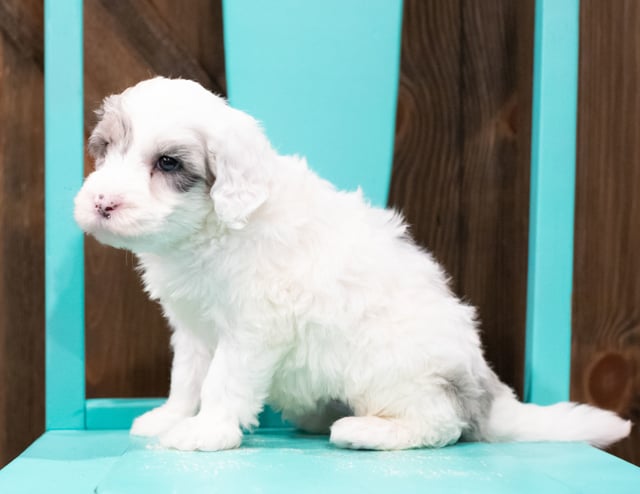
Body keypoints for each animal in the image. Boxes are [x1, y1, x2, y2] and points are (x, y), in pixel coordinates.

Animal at [75, 77, 632, 452]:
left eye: (168, 164)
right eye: (106, 150)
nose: (102, 202)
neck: (213, 230)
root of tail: (487, 394)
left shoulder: (253, 327)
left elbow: (223, 381)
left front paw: (206, 432)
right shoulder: (193, 328)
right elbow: (187, 378)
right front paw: (170, 418)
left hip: (394, 370)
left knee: (440, 424)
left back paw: (363, 430)